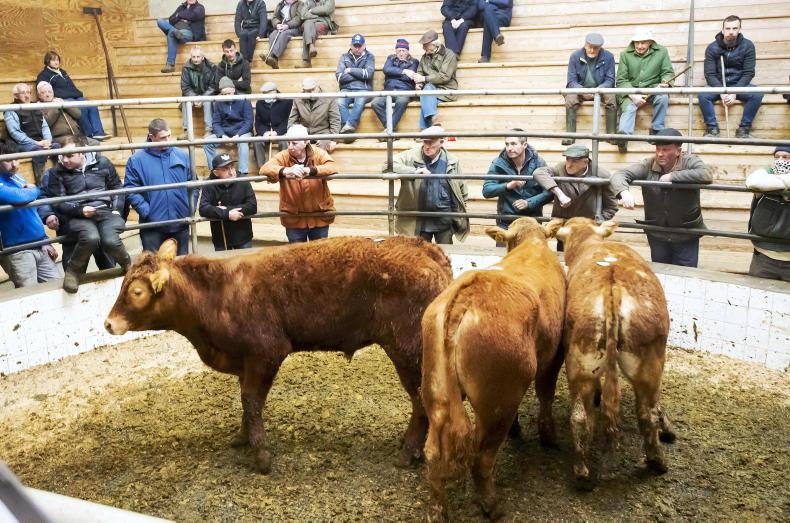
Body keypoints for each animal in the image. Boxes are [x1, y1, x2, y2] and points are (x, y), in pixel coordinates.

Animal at [104, 236, 453, 473]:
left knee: (421, 402)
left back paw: (407, 454)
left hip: (407, 351)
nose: (108, 323)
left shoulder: (267, 351)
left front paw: (261, 456)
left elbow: (252, 401)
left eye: (137, 292)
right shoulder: (244, 360)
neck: (219, 296)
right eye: (121, 285)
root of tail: (424, 248)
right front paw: (242, 437)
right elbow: (245, 402)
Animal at [421, 217, 566, 521]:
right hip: (498, 401)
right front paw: (548, 435)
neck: (532, 243)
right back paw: (493, 506)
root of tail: (467, 294)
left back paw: (437, 510)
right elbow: (546, 392)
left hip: (435, 390)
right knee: (481, 458)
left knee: (434, 452)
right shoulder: (556, 353)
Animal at [546, 217, 676, 490]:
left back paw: (582, 471)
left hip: (582, 361)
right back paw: (657, 461)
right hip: (651, 361)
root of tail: (611, 287)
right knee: (647, 413)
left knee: (580, 416)